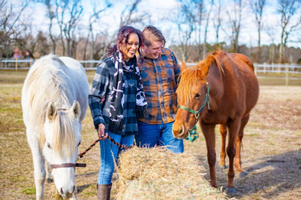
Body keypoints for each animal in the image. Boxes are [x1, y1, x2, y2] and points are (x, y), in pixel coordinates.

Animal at [172, 49, 258, 192]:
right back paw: (222, 163)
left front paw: (230, 184)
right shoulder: (206, 124)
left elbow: (231, 150)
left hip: (245, 117)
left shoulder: (235, 122)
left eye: (197, 95)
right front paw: (213, 184)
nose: (177, 129)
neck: (222, 90)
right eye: (177, 93)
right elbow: (211, 155)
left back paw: (239, 168)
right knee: (223, 134)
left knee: (239, 139)